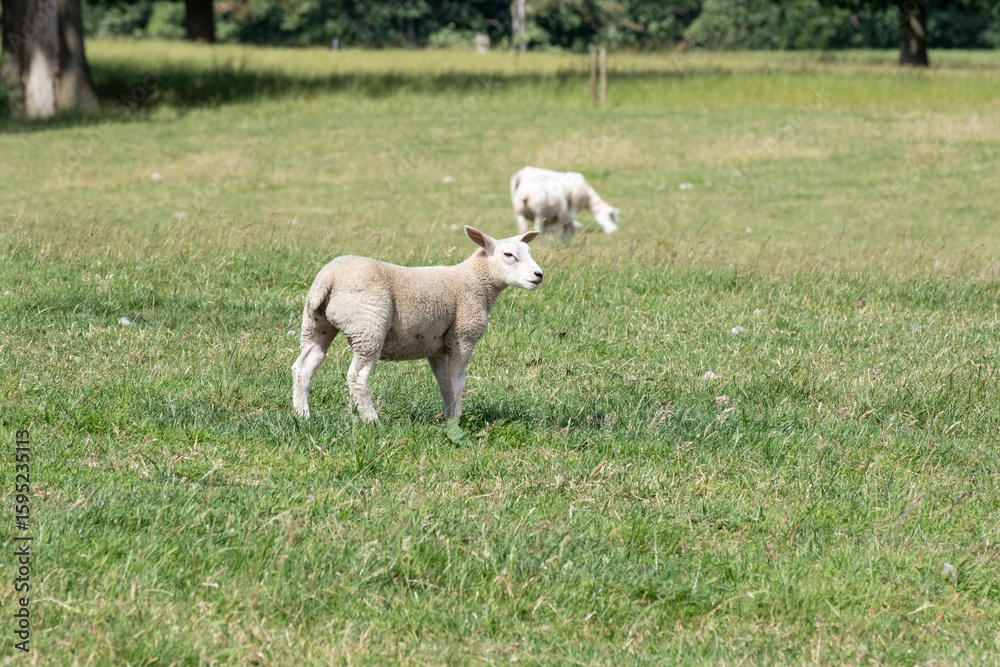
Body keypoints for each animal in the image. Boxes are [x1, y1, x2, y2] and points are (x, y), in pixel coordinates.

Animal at [292, 226, 543, 423]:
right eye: (508, 254)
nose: (539, 274)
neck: (475, 281)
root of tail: (329, 279)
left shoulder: (436, 348)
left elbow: (444, 384)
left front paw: (448, 417)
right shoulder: (463, 336)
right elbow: (458, 382)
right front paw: (457, 419)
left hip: (316, 323)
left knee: (305, 365)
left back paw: (302, 415)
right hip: (368, 326)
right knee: (357, 377)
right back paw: (372, 420)